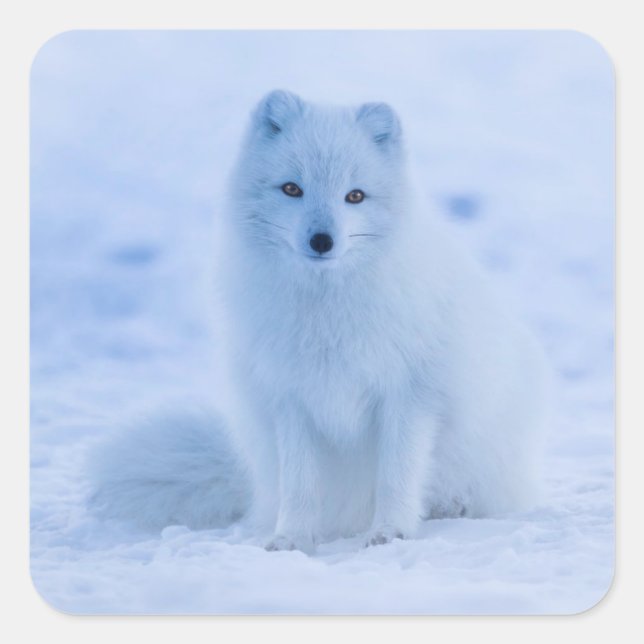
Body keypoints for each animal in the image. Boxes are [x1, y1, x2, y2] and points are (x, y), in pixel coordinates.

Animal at [89, 90, 549, 553]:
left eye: (355, 196)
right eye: (292, 188)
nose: (322, 240)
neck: (326, 312)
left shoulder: (410, 395)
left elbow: (397, 475)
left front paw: (391, 532)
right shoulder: (291, 398)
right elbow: (300, 484)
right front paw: (291, 538)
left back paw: (452, 506)